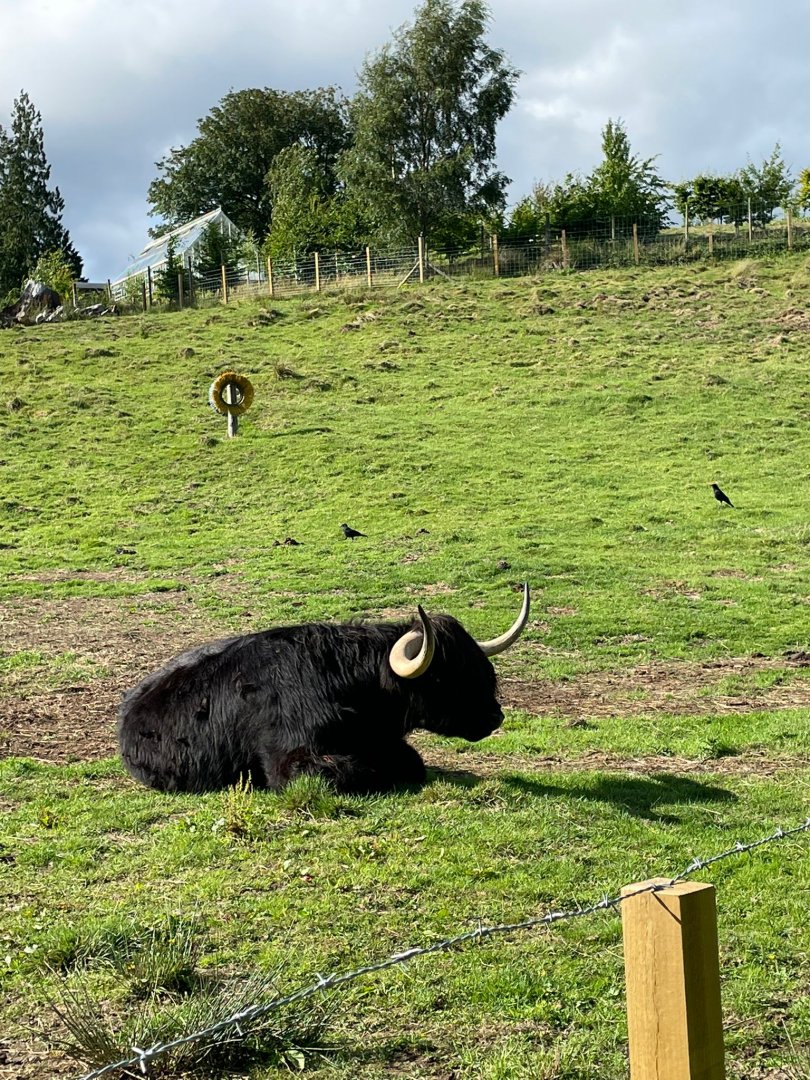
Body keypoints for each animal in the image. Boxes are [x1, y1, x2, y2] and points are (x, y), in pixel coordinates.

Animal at [118, 584, 530, 795]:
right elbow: (350, 771)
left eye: (481, 669)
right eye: (447, 676)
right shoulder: (290, 760)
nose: (495, 715)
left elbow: (413, 762)